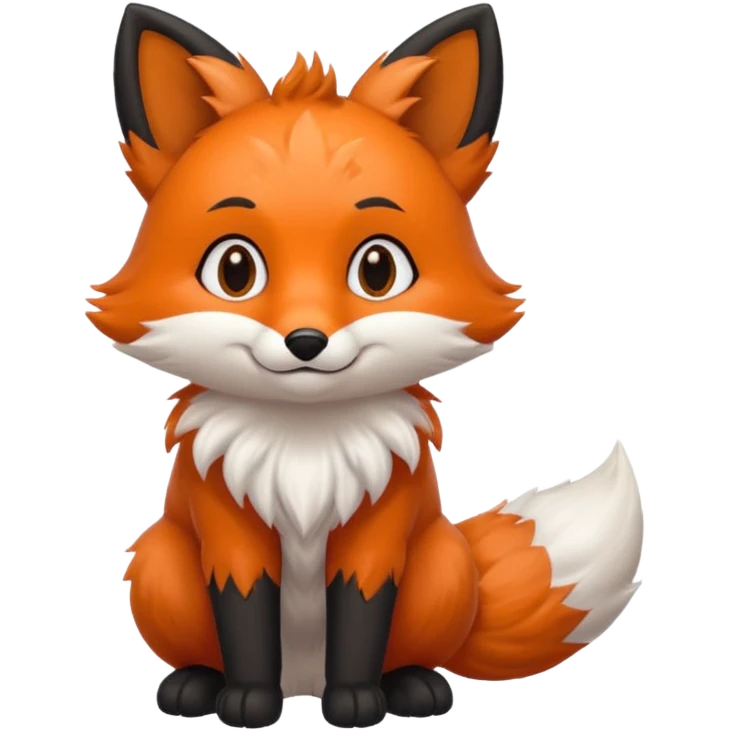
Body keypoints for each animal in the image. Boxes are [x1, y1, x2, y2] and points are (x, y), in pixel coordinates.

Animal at [91, 2, 646, 728]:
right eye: (235, 270)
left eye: (377, 270)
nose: (306, 341)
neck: (304, 449)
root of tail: (301, 682)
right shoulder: (229, 530)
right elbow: (245, 618)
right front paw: (247, 701)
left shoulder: (379, 531)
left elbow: (360, 617)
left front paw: (355, 702)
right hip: (159, 559)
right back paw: (196, 685)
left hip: (444, 562)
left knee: (411, 649)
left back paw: (411, 687)